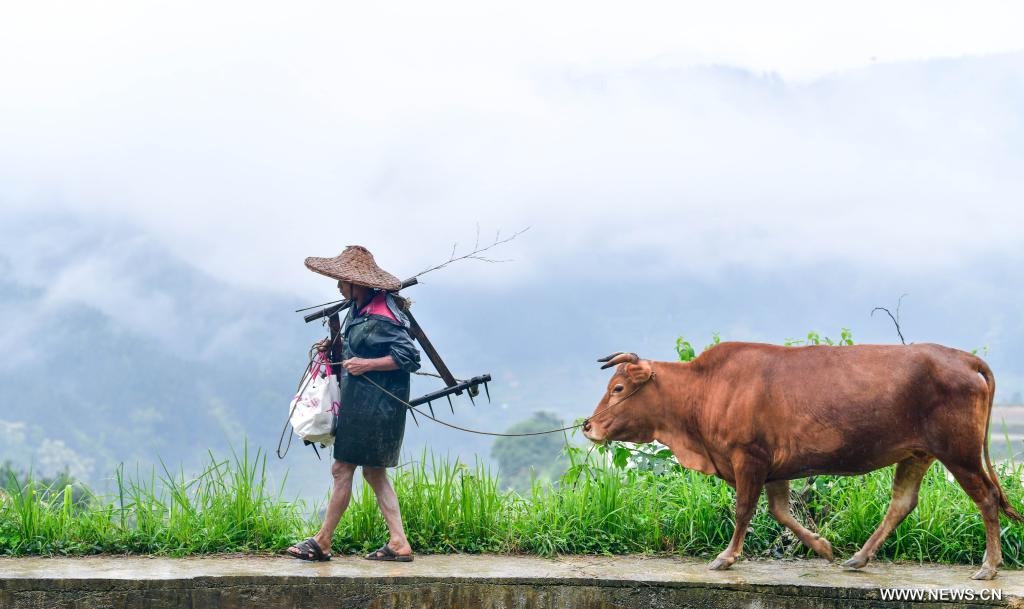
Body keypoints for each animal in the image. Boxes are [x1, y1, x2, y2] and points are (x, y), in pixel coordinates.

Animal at [581, 343, 1019, 581]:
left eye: (617, 388)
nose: (588, 426)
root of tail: (962, 358)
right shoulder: (775, 466)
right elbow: (779, 511)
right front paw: (822, 547)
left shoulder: (748, 457)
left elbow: (744, 510)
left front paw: (726, 557)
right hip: (918, 452)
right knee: (902, 503)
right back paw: (858, 557)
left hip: (959, 453)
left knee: (986, 498)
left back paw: (989, 565)